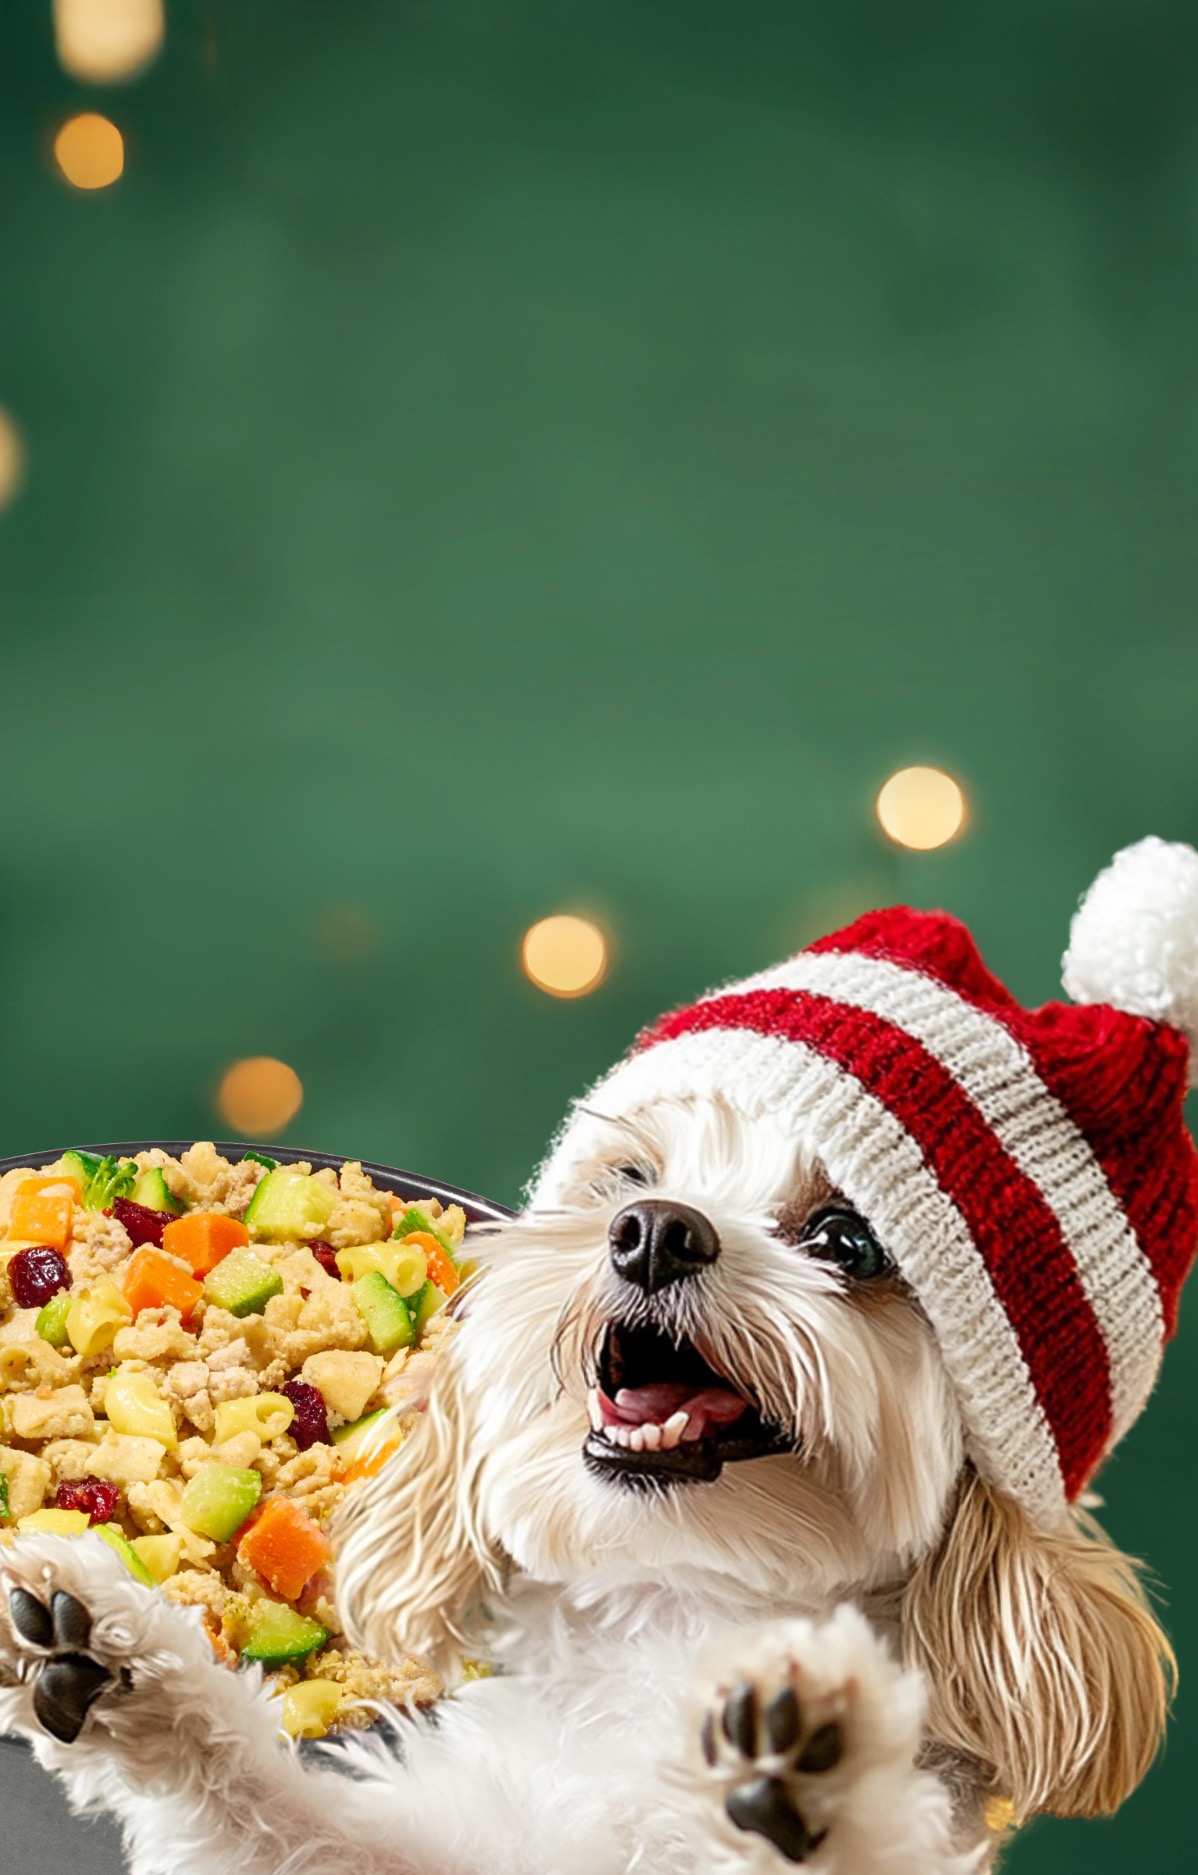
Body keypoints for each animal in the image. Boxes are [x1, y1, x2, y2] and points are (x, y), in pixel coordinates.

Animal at [4, 840, 1192, 1875]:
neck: (680, 1604)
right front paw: (109, 1655)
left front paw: (797, 1755)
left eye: (847, 1238)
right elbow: (279, 1810)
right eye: (630, 1178)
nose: (654, 1232)